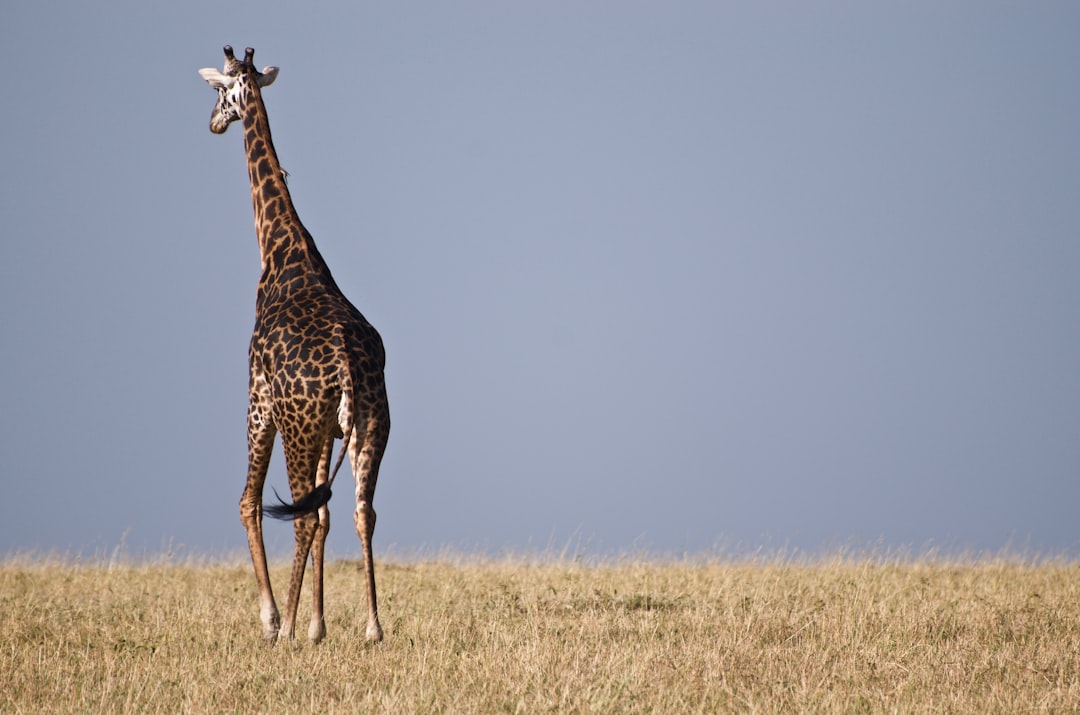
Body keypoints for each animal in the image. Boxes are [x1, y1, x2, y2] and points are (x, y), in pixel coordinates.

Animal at [200, 47, 390, 648]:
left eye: (220, 92)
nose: (213, 123)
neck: (282, 249)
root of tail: (349, 367)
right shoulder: (332, 426)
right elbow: (329, 517)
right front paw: (317, 624)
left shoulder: (258, 397)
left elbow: (247, 504)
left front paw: (275, 621)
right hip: (370, 425)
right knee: (359, 511)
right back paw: (374, 627)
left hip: (296, 425)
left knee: (298, 512)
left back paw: (282, 627)